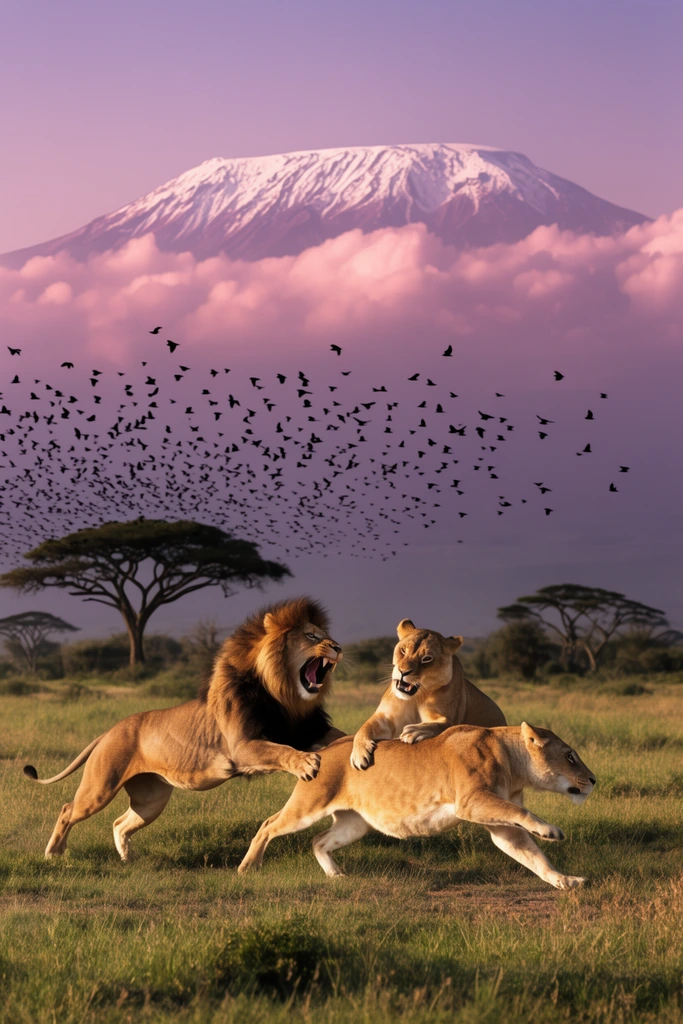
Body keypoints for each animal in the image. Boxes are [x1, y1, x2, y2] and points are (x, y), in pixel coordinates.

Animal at [24, 597, 345, 862]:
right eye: (312, 636)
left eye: (325, 635)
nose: (339, 647)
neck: (284, 696)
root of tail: (108, 732)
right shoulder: (243, 747)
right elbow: (280, 750)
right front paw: (306, 763)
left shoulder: (305, 730)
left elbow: (335, 737)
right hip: (100, 788)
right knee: (68, 810)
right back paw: (53, 854)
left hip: (150, 800)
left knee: (120, 823)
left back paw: (127, 859)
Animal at [239, 722, 596, 888]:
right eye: (570, 756)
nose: (594, 780)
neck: (514, 765)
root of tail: (321, 751)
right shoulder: (471, 801)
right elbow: (521, 813)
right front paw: (550, 830)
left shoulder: (499, 826)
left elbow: (534, 858)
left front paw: (566, 881)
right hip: (308, 806)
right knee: (268, 825)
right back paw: (248, 868)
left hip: (354, 824)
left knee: (318, 840)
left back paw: (336, 875)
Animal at [350, 618, 505, 770]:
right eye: (403, 650)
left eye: (426, 659)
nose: (403, 672)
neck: (416, 697)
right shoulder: (387, 717)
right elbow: (365, 726)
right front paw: (358, 753)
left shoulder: (449, 718)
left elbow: (444, 725)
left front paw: (414, 731)